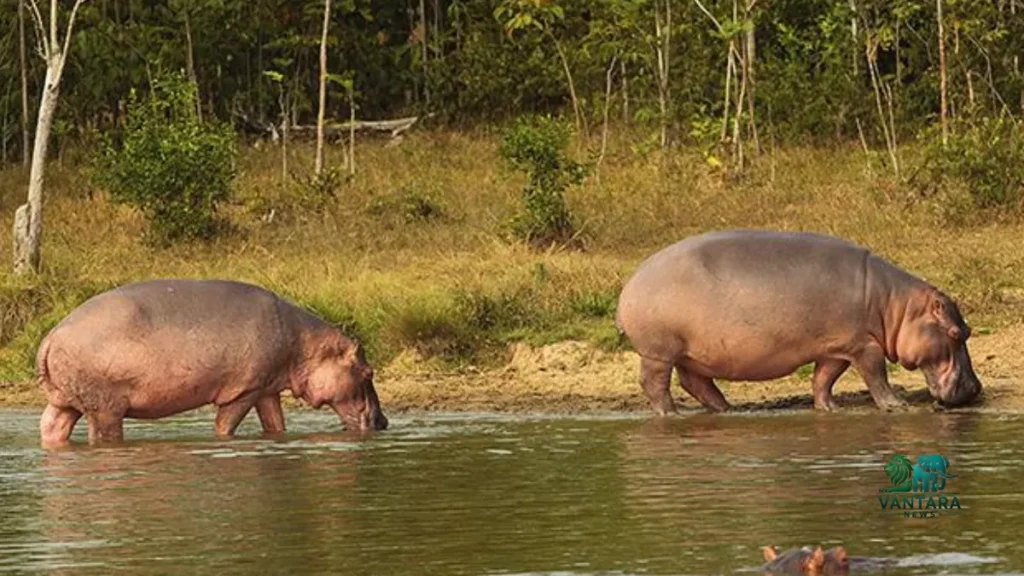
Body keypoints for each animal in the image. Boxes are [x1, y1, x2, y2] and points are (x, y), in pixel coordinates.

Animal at [37, 279, 388, 447]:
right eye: (368, 371)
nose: (383, 422)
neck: (305, 345)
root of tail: (51, 337)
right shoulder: (244, 390)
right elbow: (225, 426)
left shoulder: (267, 388)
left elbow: (276, 424)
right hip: (106, 408)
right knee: (102, 434)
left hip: (65, 400)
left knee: (51, 425)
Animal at [616, 230, 983, 414]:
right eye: (955, 332)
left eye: (968, 330)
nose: (976, 389)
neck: (896, 307)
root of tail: (631, 280)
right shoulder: (864, 345)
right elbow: (876, 375)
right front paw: (897, 405)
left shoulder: (836, 347)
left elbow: (824, 379)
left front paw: (830, 408)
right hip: (659, 351)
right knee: (654, 384)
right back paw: (671, 415)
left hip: (692, 353)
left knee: (695, 382)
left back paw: (727, 409)